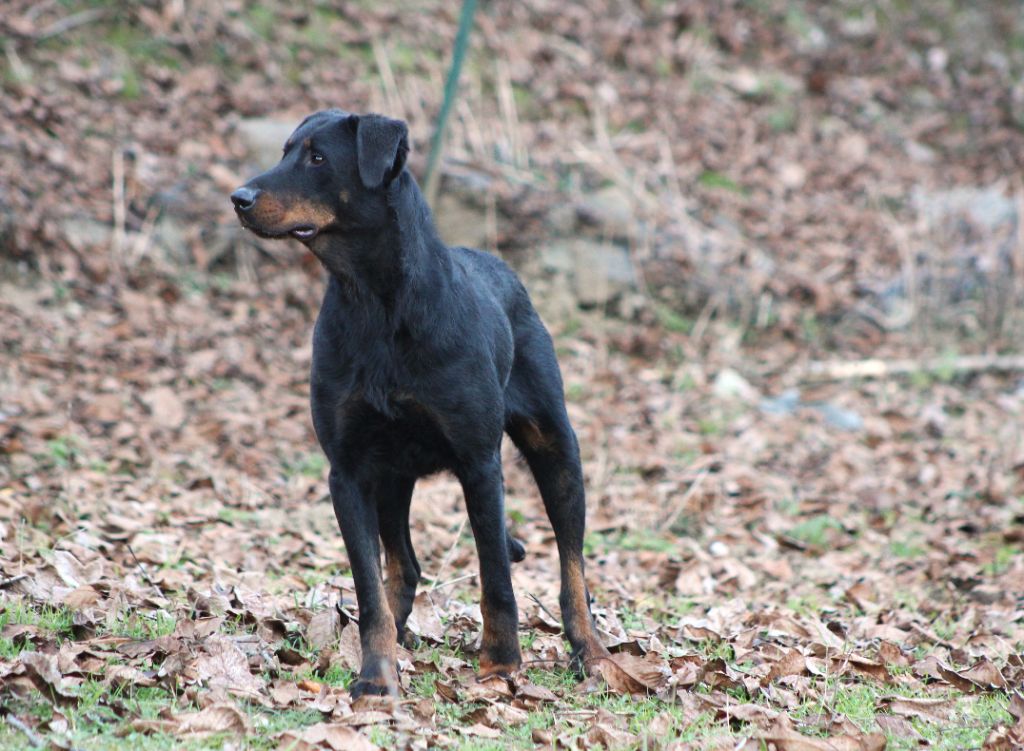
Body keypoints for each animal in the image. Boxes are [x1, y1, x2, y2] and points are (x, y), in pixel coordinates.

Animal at [232, 109, 606, 696]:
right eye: (286, 149)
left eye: (317, 157)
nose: (239, 197)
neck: (374, 299)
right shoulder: (349, 470)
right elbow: (369, 587)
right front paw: (375, 675)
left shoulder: (480, 463)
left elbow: (496, 576)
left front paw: (500, 665)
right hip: (392, 475)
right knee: (403, 566)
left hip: (555, 446)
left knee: (573, 567)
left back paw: (591, 652)